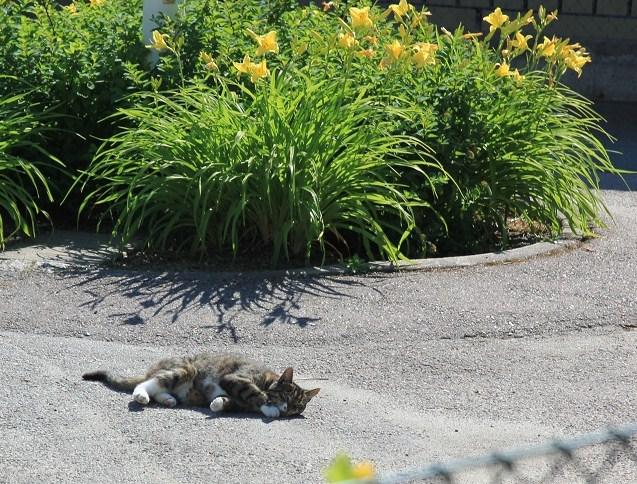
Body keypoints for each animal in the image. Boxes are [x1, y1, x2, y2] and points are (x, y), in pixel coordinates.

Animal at [82, 354, 320, 418]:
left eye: (297, 406)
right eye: (286, 397)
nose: (286, 409)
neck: (268, 379)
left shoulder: (238, 401)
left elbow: (229, 402)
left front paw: (217, 403)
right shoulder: (235, 378)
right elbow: (255, 393)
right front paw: (269, 408)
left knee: (160, 390)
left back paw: (168, 400)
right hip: (185, 369)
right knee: (147, 383)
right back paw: (141, 395)